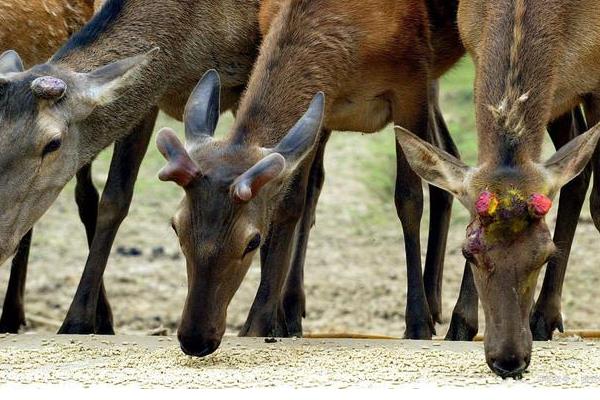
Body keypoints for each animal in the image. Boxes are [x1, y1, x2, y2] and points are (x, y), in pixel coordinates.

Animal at [154, 0, 464, 356]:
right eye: (176, 226)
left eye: (252, 241)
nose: (195, 338)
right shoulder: (322, 112)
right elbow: (291, 203)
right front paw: (261, 323)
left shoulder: (413, 81)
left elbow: (408, 199)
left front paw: (416, 324)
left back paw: (446, 315)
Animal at [396, 0, 600, 378]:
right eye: (468, 252)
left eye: (546, 254)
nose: (508, 360)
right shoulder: (475, 49)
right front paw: (459, 325)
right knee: (578, 171)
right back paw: (543, 318)